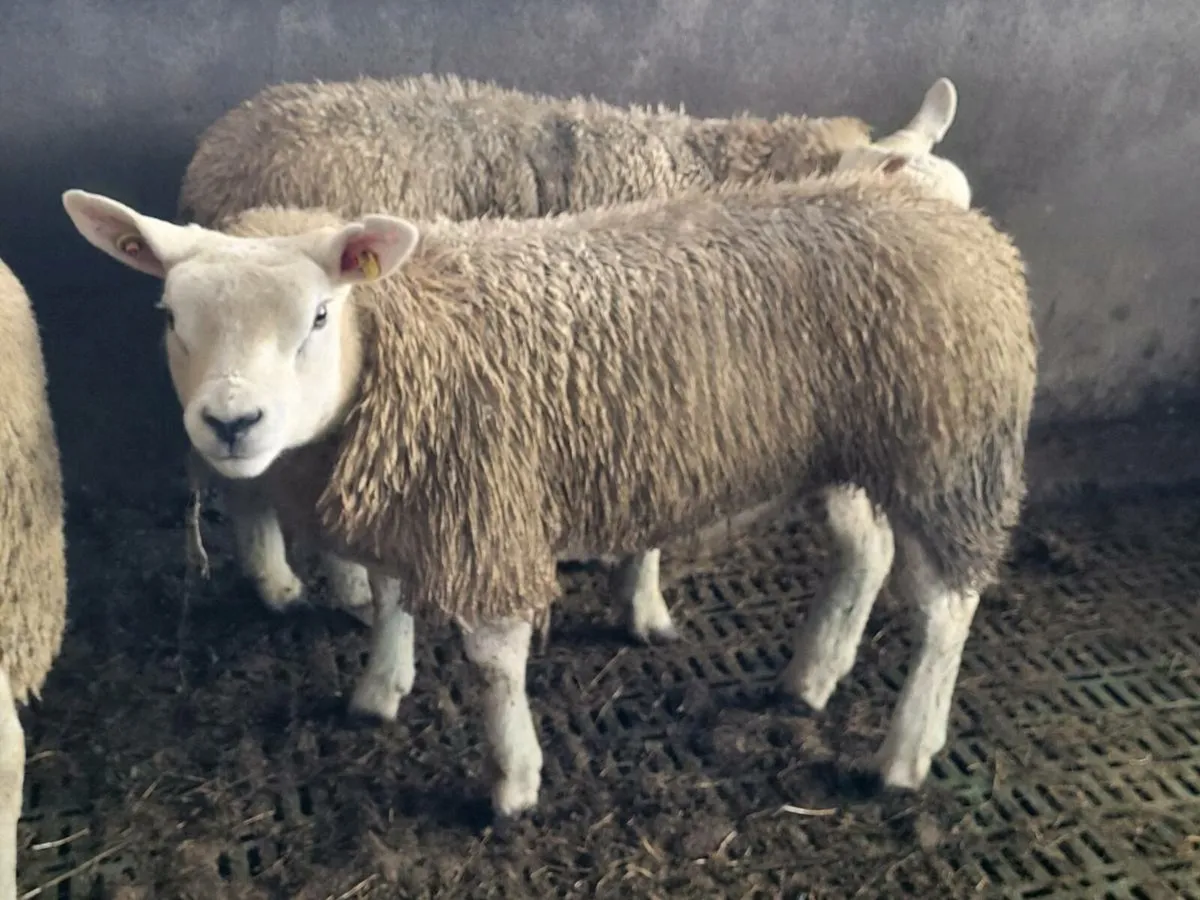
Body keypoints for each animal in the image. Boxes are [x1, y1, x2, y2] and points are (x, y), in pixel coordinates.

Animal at [62, 159, 1036, 820]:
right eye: (169, 316)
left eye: (320, 316)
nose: (231, 423)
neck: (402, 339)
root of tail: (956, 217)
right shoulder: (416, 496)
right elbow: (388, 593)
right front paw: (380, 689)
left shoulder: (483, 502)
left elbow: (494, 663)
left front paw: (513, 782)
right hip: (848, 447)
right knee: (865, 552)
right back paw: (811, 677)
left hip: (948, 450)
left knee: (946, 606)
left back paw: (904, 752)